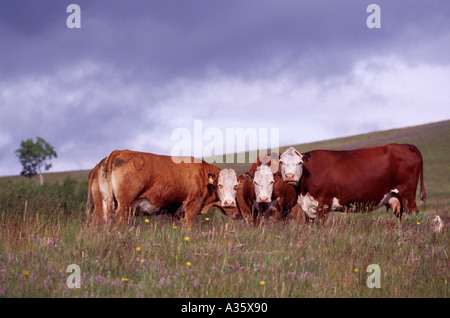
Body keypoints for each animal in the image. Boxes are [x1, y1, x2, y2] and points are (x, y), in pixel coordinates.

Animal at [96, 149, 241, 226]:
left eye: (236, 186)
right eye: (220, 185)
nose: (229, 203)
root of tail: (121, 151)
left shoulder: (176, 213)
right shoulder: (192, 207)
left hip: (107, 202)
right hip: (124, 206)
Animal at [280, 143, 428, 222]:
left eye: (300, 163)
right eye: (281, 162)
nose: (289, 176)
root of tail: (407, 146)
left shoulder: (324, 204)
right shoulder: (308, 208)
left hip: (407, 195)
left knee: (414, 216)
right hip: (397, 199)